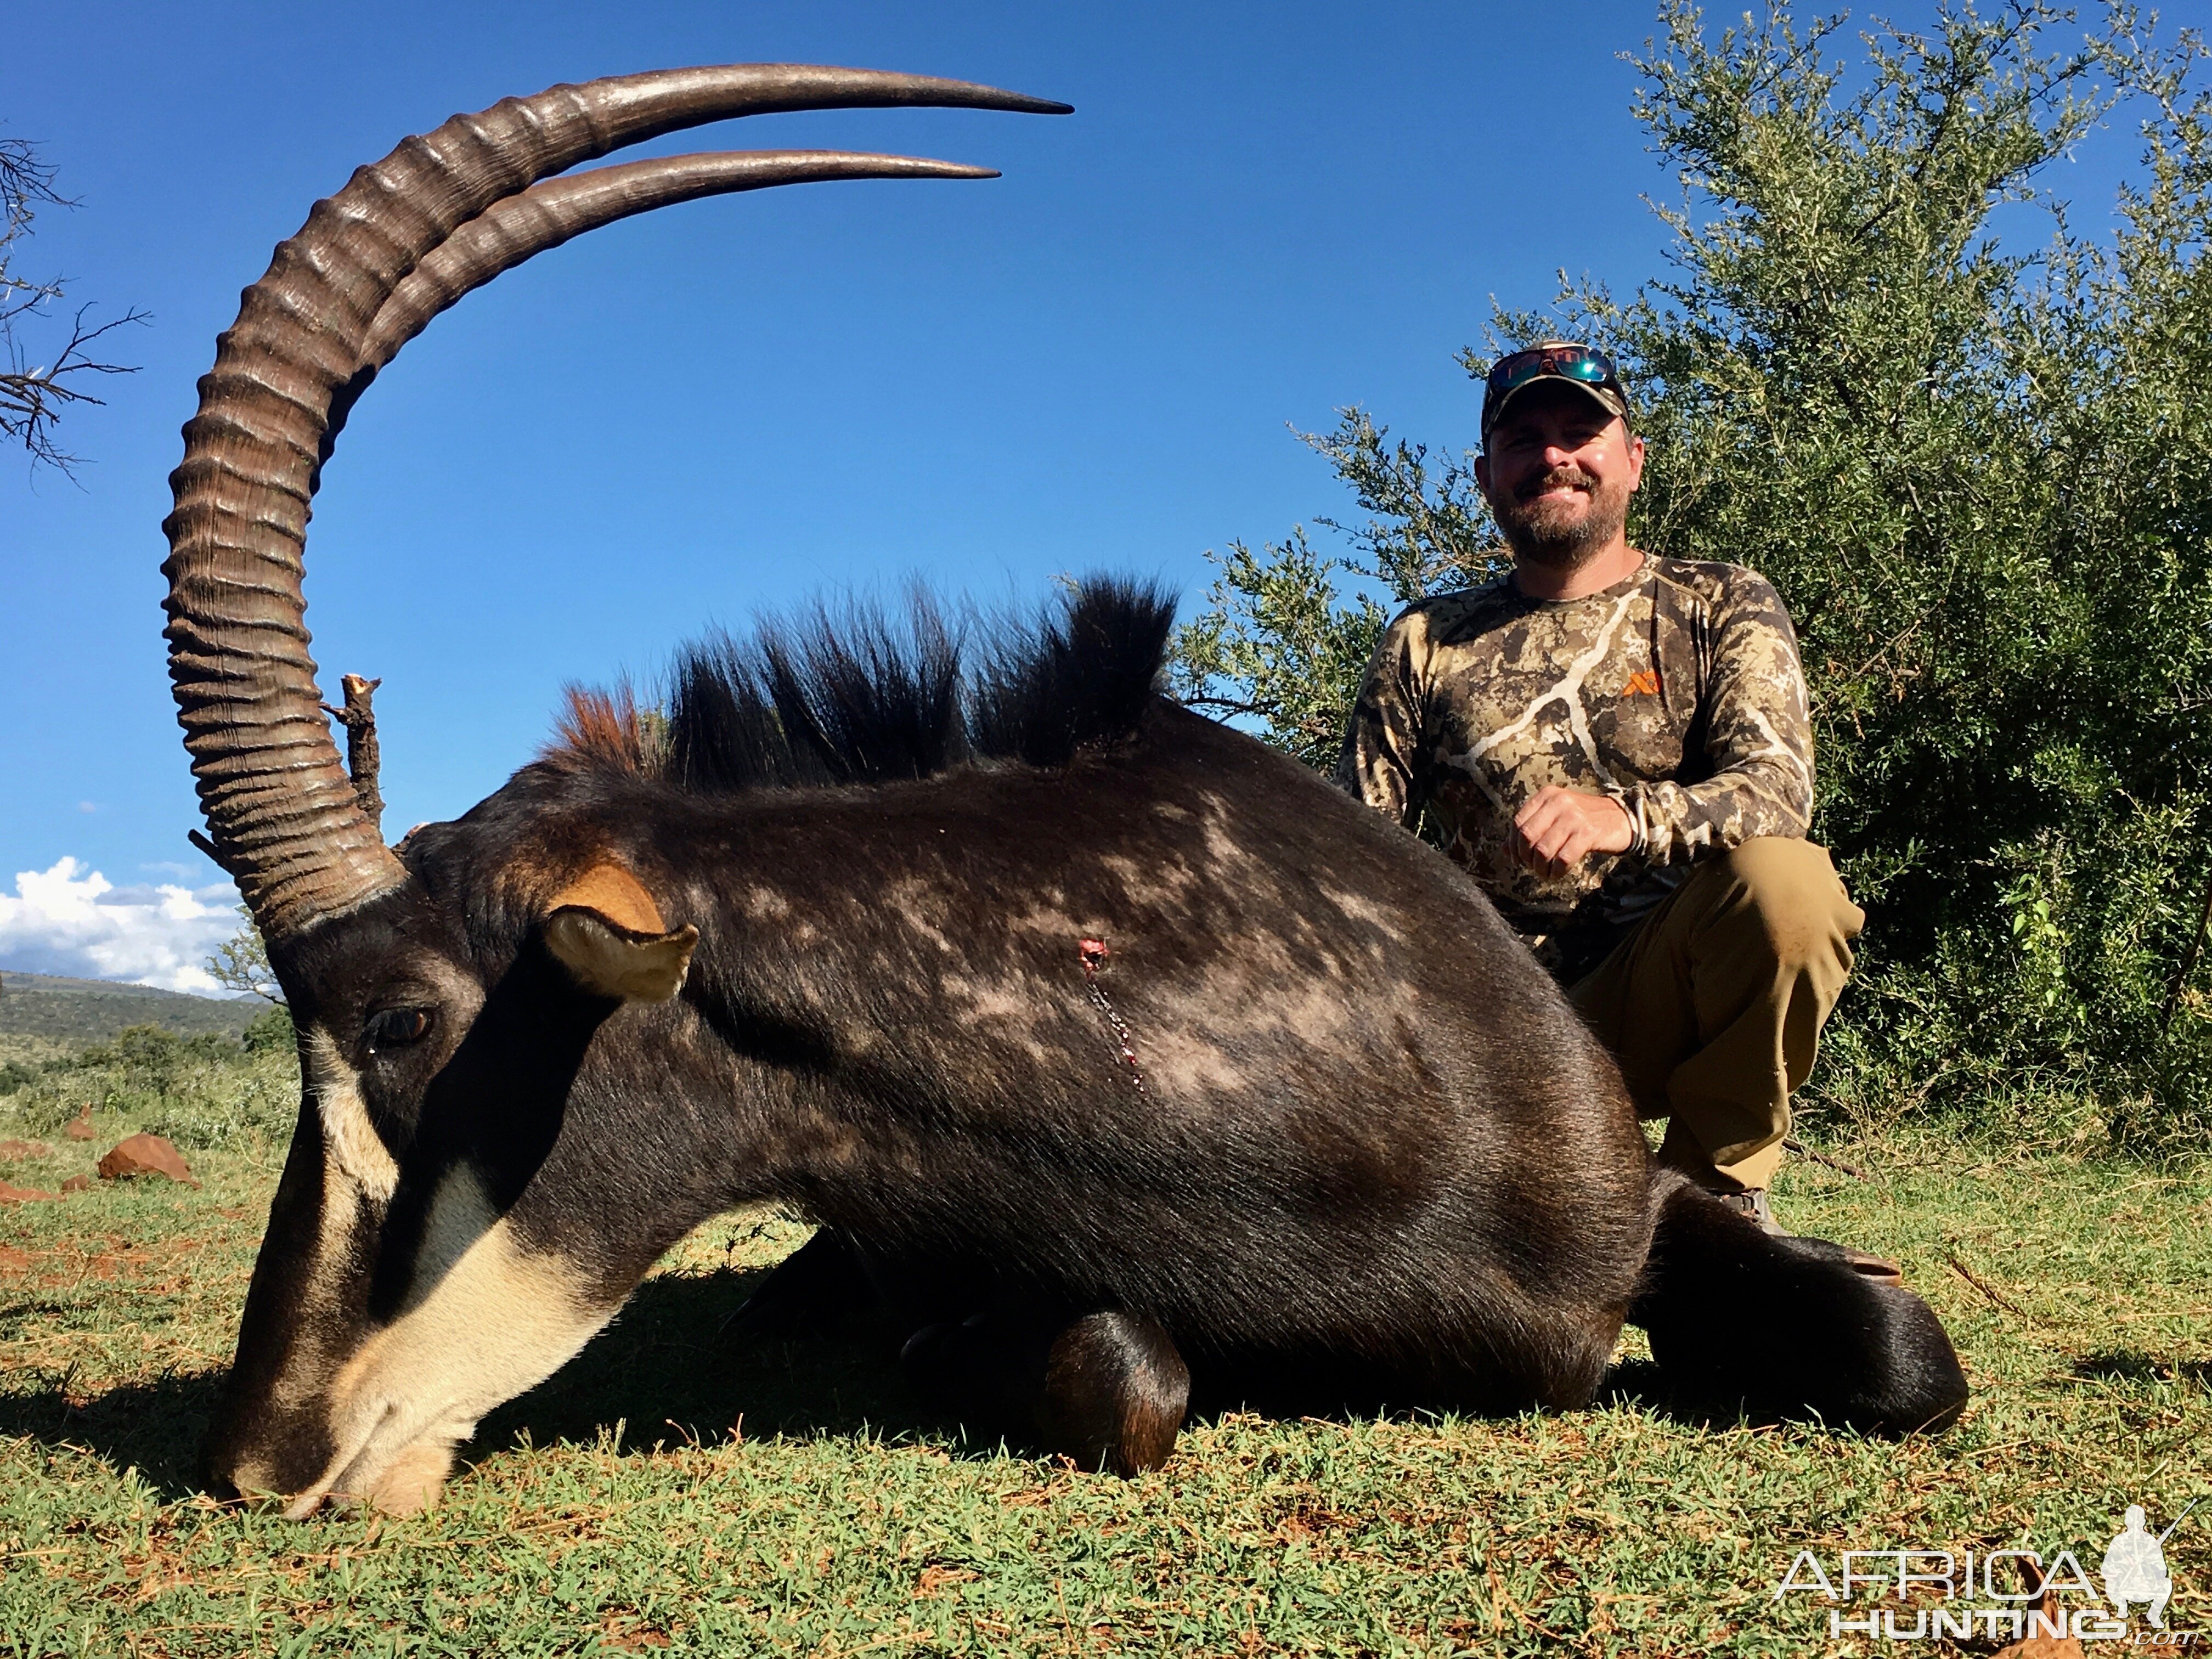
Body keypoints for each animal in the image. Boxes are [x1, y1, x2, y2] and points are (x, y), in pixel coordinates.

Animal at [177, 65, 1973, 1522]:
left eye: (401, 1020)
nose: (259, 1457)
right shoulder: (970, 1288)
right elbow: (1124, 1373)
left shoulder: (1641, 1211)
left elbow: (1905, 1344)